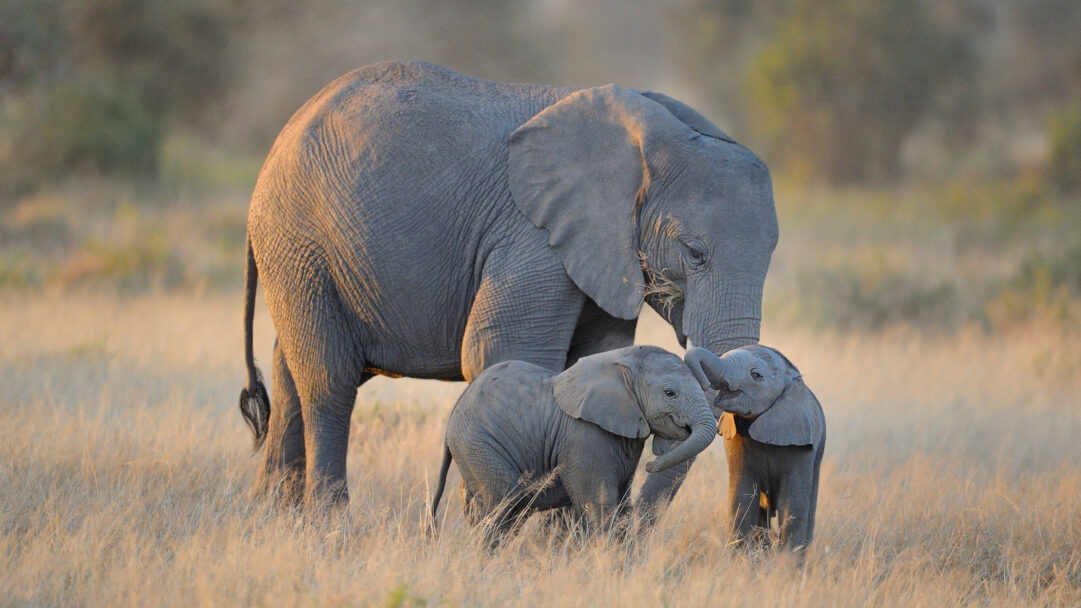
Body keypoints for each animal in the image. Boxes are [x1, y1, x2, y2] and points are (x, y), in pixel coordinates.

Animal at [237, 61, 778, 509]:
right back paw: (329, 522)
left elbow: (595, 358)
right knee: (328, 379)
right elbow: (503, 351)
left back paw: (272, 517)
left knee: (290, 374)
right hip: (298, 239)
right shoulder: (531, 235)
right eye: (695, 253)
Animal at [429, 345, 716, 541]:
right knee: (505, 504)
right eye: (670, 393)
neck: (623, 362)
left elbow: (622, 505)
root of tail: (452, 418)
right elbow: (600, 506)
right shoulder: (585, 437)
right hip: (479, 444)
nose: (650, 465)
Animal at [684, 345, 825, 552]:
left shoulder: (802, 443)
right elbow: (742, 498)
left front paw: (786, 562)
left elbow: (793, 505)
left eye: (756, 375)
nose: (703, 384)